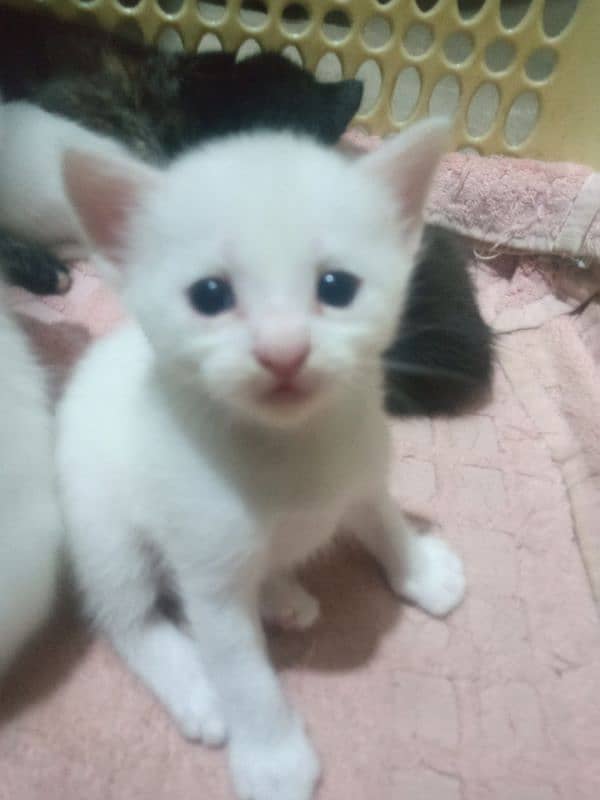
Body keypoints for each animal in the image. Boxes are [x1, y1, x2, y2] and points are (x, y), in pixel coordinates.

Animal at [56, 122, 466, 800]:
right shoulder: (210, 578)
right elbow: (242, 671)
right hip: (102, 531)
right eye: (210, 295)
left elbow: (382, 518)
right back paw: (195, 687)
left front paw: (421, 569)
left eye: (337, 287)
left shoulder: (362, 470)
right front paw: (273, 757)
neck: (289, 448)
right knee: (128, 617)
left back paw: (281, 594)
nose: (284, 352)